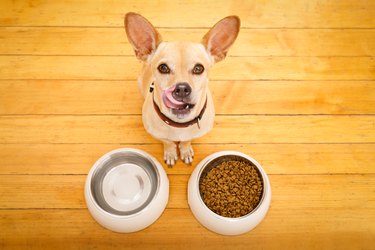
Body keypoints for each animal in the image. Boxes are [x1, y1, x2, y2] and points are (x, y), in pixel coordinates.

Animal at [125, 13, 239, 166]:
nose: (182, 89)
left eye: (198, 68)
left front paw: (185, 151)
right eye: (163, 68)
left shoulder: (191, 135)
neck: (179, 125)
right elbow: (167, 142)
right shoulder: (160, 135)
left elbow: (186, 141)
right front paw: (171, 152)